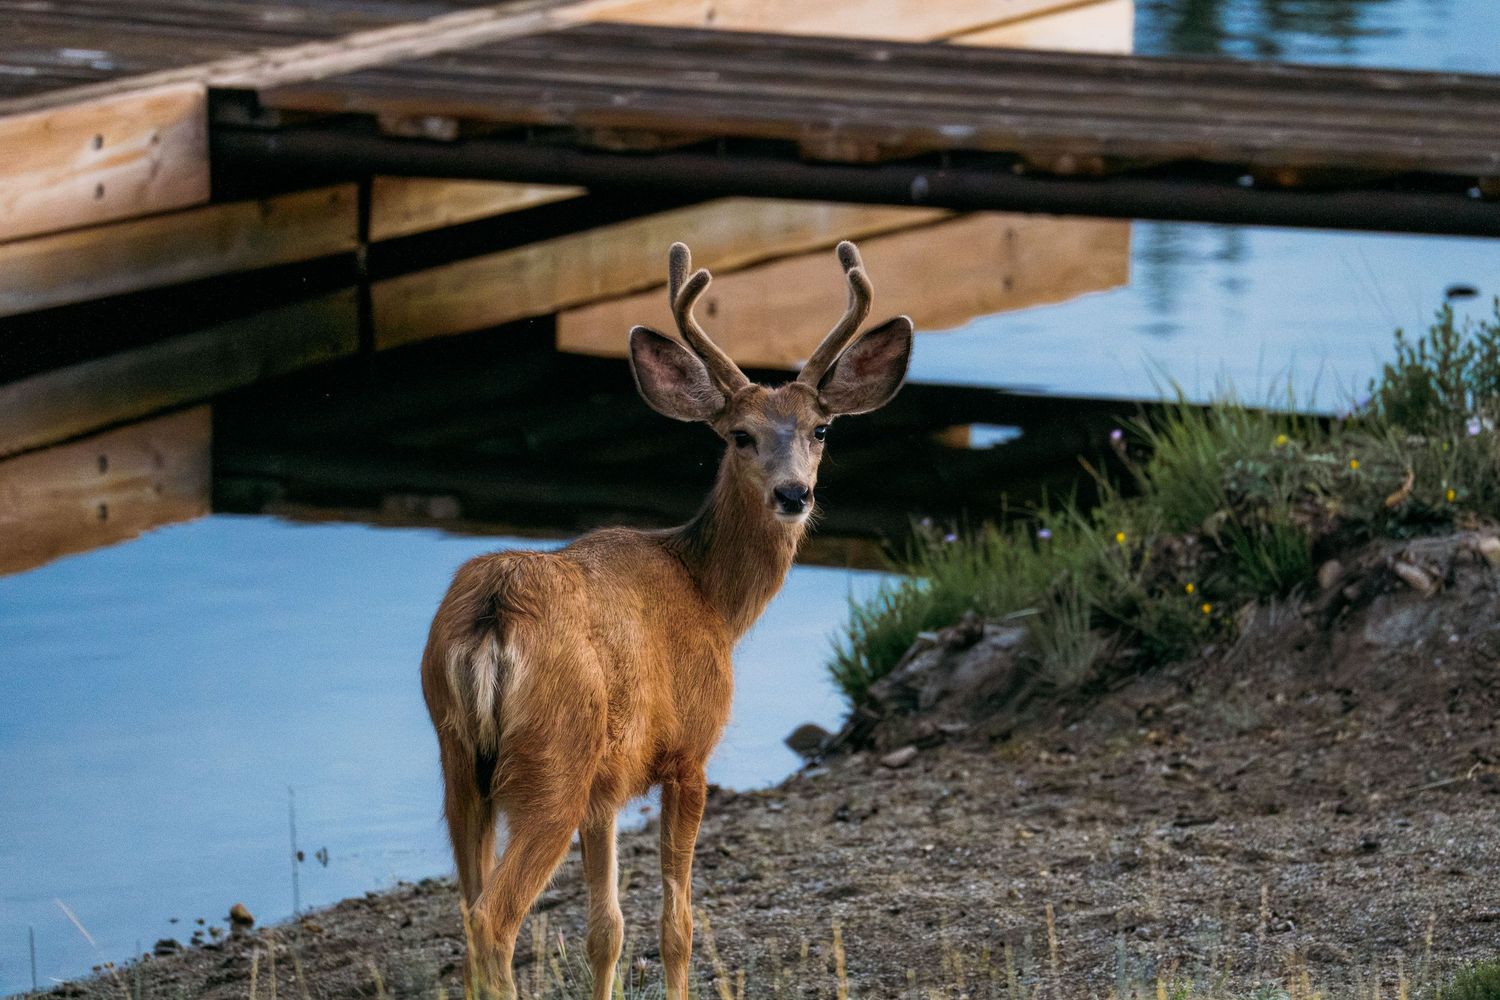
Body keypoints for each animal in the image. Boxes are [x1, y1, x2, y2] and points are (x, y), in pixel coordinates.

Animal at [419, 239, 912, 1000]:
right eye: (740, 436)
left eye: (821, 429)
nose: (793, 494)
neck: (710, 596)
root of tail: (491, 613)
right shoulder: (688, 752)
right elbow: (675, 924)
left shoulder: (605, 787)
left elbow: (606, 930)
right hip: (551, 760)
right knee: (491, 921)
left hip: (459, 756)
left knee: (468, 909)